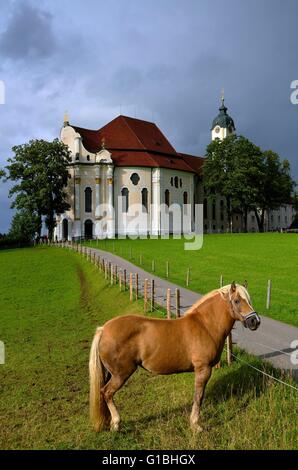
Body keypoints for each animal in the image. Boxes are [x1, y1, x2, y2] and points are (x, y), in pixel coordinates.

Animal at [89, 280, 260, 432]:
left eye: (249, 300)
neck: (205, 325)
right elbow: (198, 397)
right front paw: (196, 425)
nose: (255, 321)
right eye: (237, 300)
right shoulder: (203, 369)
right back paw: (116, 424)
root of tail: (104, 329)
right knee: (106, 393)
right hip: (121, 374)